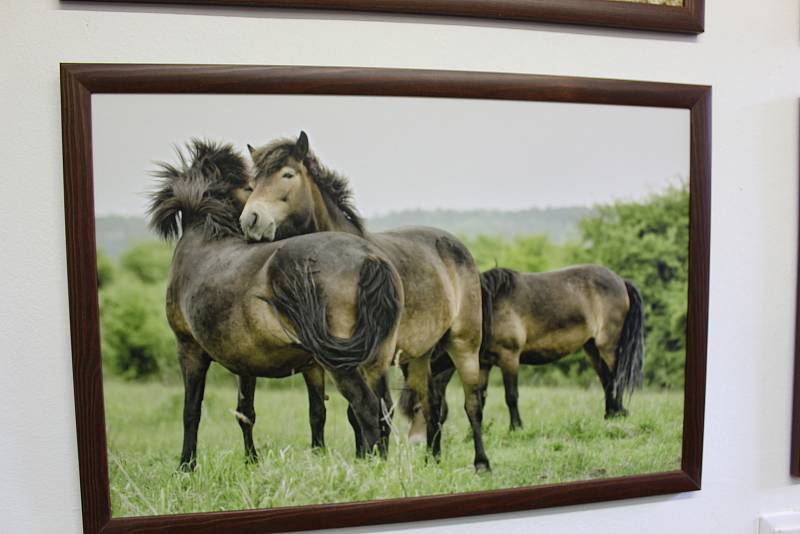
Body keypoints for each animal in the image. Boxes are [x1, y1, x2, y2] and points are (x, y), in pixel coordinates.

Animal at [147, 140, 404, 472]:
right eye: (252, 185)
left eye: (287, 175)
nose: (252, 220)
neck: (205, 238)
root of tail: (368, 258)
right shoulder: (246, 362)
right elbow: (246, 412)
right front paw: (251, 462)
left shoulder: (188, 348)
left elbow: (191, 411)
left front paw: (186, 467)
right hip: (375, 359)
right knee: (383, 410)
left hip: (343, 363)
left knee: (367, 408)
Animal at [238, 134, 490, 474]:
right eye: (253, 182)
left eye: (288, 174)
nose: (250, 221)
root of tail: (457, 247)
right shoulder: (328, 361)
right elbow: (341, 412)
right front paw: (361, 459)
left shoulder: (373, 358)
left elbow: (377, 410)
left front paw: (373, 461)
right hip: (420, 355)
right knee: (431, 403)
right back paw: (432, 460)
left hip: (464, 343)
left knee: (472, 402)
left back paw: (481, 463)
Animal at [400, 264, 644, 440]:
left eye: (417, 408)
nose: (415, 443)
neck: (487, 310)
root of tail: (621, 281)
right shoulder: (484, 364)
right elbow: (480, 398)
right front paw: (473, 433)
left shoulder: (509, 358)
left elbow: (511, 396)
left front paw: (516, 428)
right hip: (592, 348)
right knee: (606, 379)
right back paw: (610, 415)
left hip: (607, 346)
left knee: (616, 377)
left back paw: (618, 413)